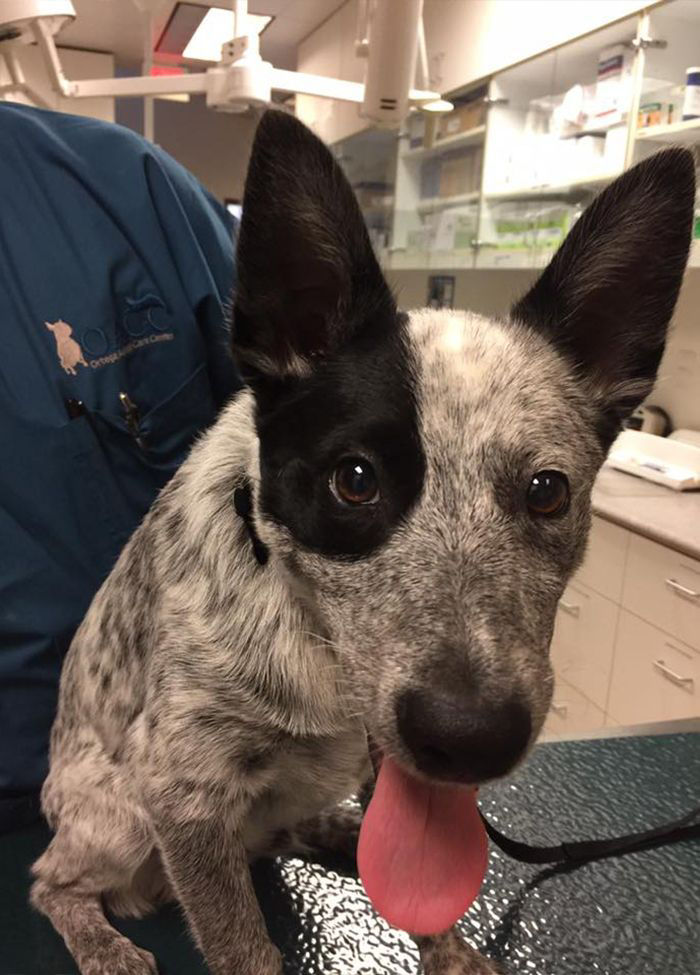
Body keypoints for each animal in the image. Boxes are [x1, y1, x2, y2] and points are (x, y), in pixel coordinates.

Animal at [30, 108, 692, 975]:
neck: (317, 654)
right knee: (50, 880)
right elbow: (242, 943)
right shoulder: (183, 791)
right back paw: (104, 940)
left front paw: (448, 949)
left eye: (548, 490)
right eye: (355, 478)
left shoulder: (387, 749)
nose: (470, 739)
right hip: (117, 819)